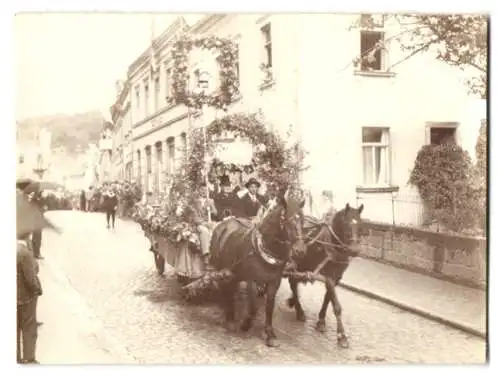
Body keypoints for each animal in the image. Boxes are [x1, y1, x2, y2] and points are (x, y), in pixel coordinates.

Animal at [209, 190, 306, 346]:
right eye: (288, 221)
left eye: (303, 222)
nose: (300, 251)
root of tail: (225, 222)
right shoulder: (252, 280)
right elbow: (254, 306)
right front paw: (246, 324)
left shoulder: (274, 282)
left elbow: (269, 306)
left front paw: (270, 334)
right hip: (222, 268)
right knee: (226, 289)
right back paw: (230, 318)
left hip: (235, 273)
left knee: (230, 288)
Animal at [286, 204, 364, 348]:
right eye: (346, 224)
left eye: (361, 224)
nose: (355, 250)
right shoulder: (328, 276)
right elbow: (336, 305)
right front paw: (342, 335)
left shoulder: (336, 277)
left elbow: (328, 298)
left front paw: (321, 321)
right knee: (292, 283)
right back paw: (299, 311)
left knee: (293, 282)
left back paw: (293, 301)